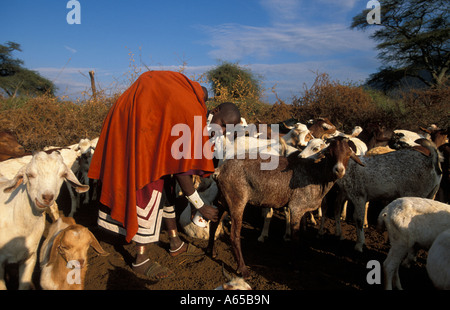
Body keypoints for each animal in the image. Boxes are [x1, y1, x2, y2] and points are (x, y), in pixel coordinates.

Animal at [209, 137, 364, 278]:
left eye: (348, 155)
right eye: (330, 153)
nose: (339, 170)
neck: (317, 175)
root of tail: (219, 170)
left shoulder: (302, 209)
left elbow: (301, 233)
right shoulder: (296, 207)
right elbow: (295, 237)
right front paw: (295, 266)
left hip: (223, 199)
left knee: (214, 221)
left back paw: (212, 252)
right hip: (237, 199)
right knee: (234, 235)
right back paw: (243, 270)